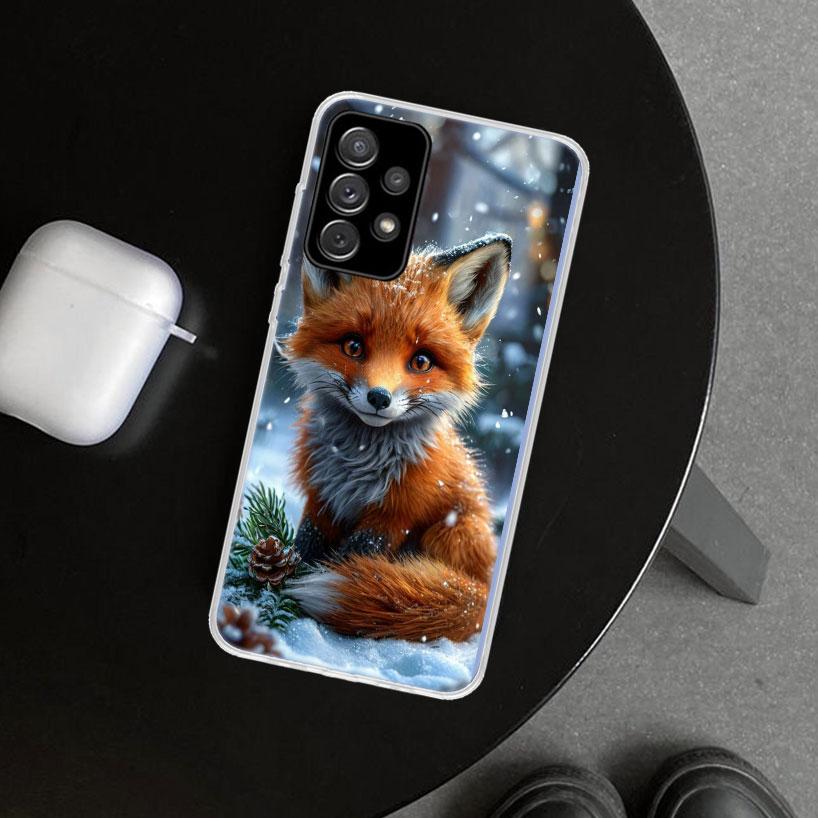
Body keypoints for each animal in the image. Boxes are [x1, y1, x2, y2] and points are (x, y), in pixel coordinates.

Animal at [285, 233, 511, 642]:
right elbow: (306, 545)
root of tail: (486, 589)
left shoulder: (394, 514)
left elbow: (349, 560)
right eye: (353, 346)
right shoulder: (322, 494)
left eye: (421, 361)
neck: (357, 463)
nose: (379, 397)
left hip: (452, 532)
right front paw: (281, 578)